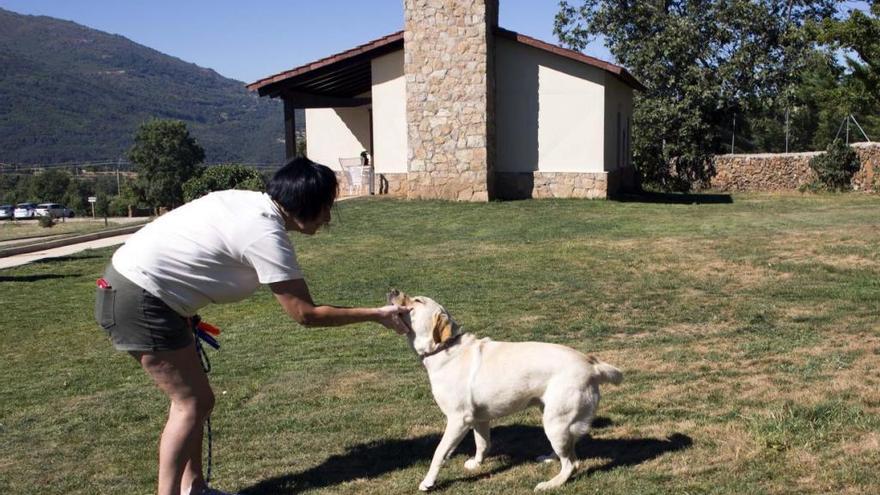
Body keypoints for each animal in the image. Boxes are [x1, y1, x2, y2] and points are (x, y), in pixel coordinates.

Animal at [388, 290, 624, 492]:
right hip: (553, 417)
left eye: (417, 301)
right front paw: (477, 464)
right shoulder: (479, 418)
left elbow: (439, 453)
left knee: (572, 463)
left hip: (556, 421)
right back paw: (549, 457)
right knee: (569, 449)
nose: (393, 290)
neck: (445, 349)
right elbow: (483, 443)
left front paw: (428, 482)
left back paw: (550, 484)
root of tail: (591, 364)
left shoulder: (458, 419)